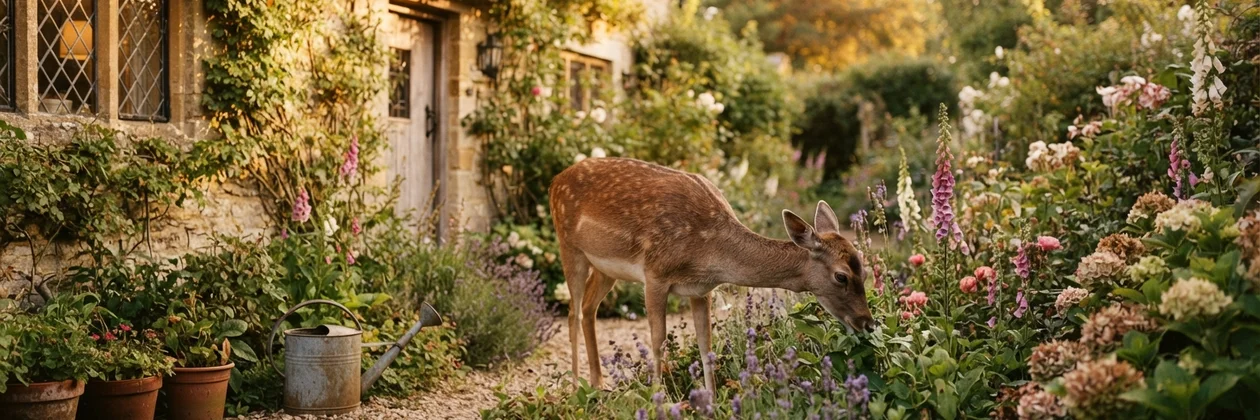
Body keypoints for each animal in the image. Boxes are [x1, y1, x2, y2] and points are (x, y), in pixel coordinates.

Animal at [548, 157, 876, 393]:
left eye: (864, 267)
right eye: (841, 276)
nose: (868, 322)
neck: (708, 253)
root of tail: (555, 181)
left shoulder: (701, 290)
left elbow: (707, 347)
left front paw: (712, 401)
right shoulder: (655, 273)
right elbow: (658, 342)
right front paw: (659, 399)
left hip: (605, 268)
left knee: (589, 307)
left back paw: (598, 384)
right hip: (568, 245)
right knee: (573, 312)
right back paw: (576, 388)